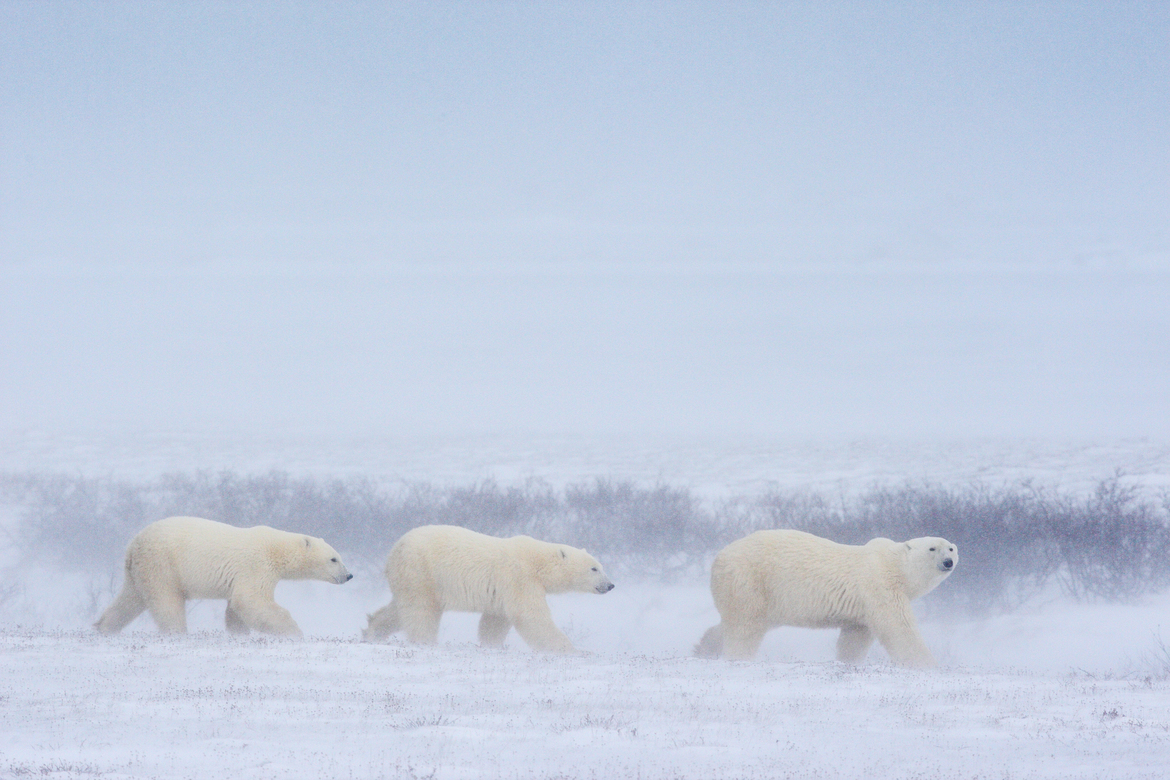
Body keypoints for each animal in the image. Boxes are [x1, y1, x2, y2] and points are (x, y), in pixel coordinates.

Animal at [95, 516, 353, 637]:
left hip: (139, 570)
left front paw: (240, 634)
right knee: (167, 603)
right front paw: (294, 632)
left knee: (130, 599)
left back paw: (103, 627)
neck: (276, 548)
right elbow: (251, 601)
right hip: (162, 565)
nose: (349, 575)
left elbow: (236, 609)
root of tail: (133, 544)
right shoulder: (256, 566)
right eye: (334, 559)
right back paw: (178, 633)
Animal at [362, 525, 614, 653]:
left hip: (410, 578)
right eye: (594, 568)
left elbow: (495, 621)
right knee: (421, 611)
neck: (537, 561)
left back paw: (372, 632)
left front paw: (492, 645)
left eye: (601, 566)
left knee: (398, 610)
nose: (610, 585)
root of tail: (395, 549)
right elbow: (530, 616)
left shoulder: (503, 590)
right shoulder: (519, 577)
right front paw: (572, 650)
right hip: (421, 571)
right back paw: (426, 642)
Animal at [694, 530, 957, 667]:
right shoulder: (879, 585)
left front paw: (848, 662)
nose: (948, 562)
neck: (895, 565)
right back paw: (738, 658)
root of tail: (719, 557)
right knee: (745, 627)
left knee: (733, 622)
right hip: (751, 581)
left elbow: (855, 637)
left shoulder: (861, 610)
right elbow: (899, 629)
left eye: (951, 548)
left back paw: (703, 649)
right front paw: (929, 666)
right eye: (932, 548)